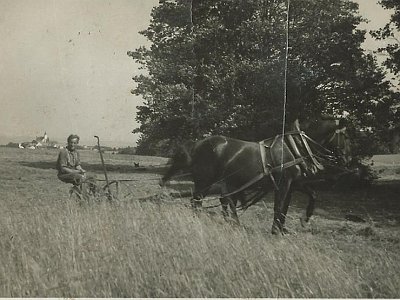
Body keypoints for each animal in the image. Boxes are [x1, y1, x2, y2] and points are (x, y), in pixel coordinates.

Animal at [161, 117, 352, 234]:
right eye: (346, 136)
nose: (348, 159)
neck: (294, 148)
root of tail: (198, 143)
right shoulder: (283, 184)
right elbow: (279, 206)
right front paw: (276, 231)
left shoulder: (294, 183)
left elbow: (307, 197)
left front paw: (298, 222)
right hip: (205, 180)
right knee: (198, 201)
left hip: (225, 181)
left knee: (223, 201)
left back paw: (232, 223)